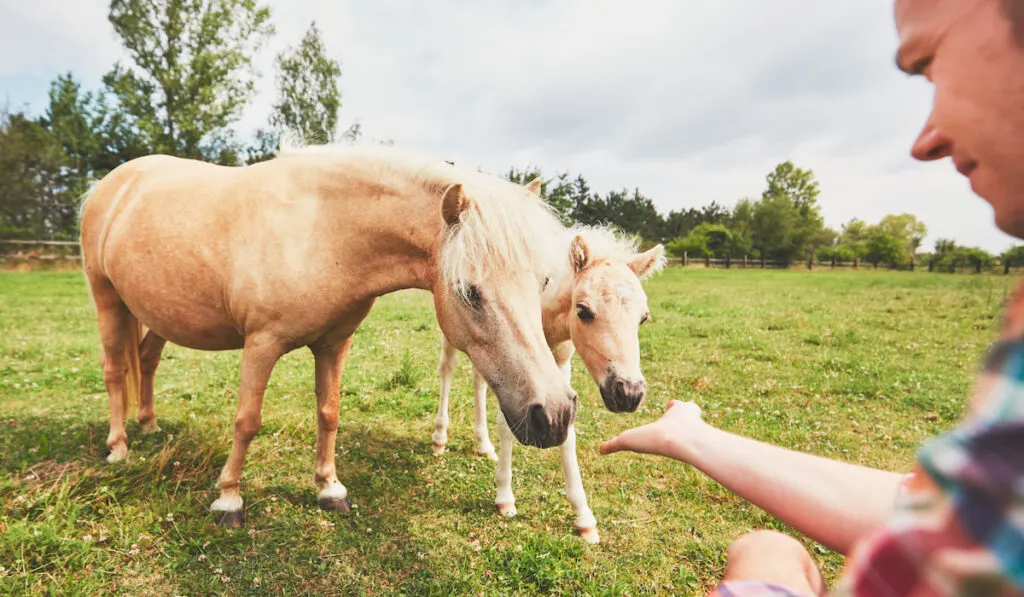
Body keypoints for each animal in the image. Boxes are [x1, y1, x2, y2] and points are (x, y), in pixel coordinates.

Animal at [77, 144, 577, 528]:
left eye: (543, 281)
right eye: (470, 292)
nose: (554, 415)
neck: (323, 230)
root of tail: (110, 186)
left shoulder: (334, 344)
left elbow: (329, 413)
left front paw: (329, 489)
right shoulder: (261, 344)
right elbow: (247, 421)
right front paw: (228, 499)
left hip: (154, 314)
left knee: (146, 360)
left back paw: (149, 424)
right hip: (106, 299)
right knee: (114, 370)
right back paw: (119, 447)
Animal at [430, 221, 663, 544]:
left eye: (643, 317)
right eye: (583, 311)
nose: (629, 393)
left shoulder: (558, 367)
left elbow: (567, 430)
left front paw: (584, 517)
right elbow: (508, 425)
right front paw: (505, 497)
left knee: (479, 381)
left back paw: (483, 444)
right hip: (456, 333)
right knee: (447, 370)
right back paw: (439, 438)